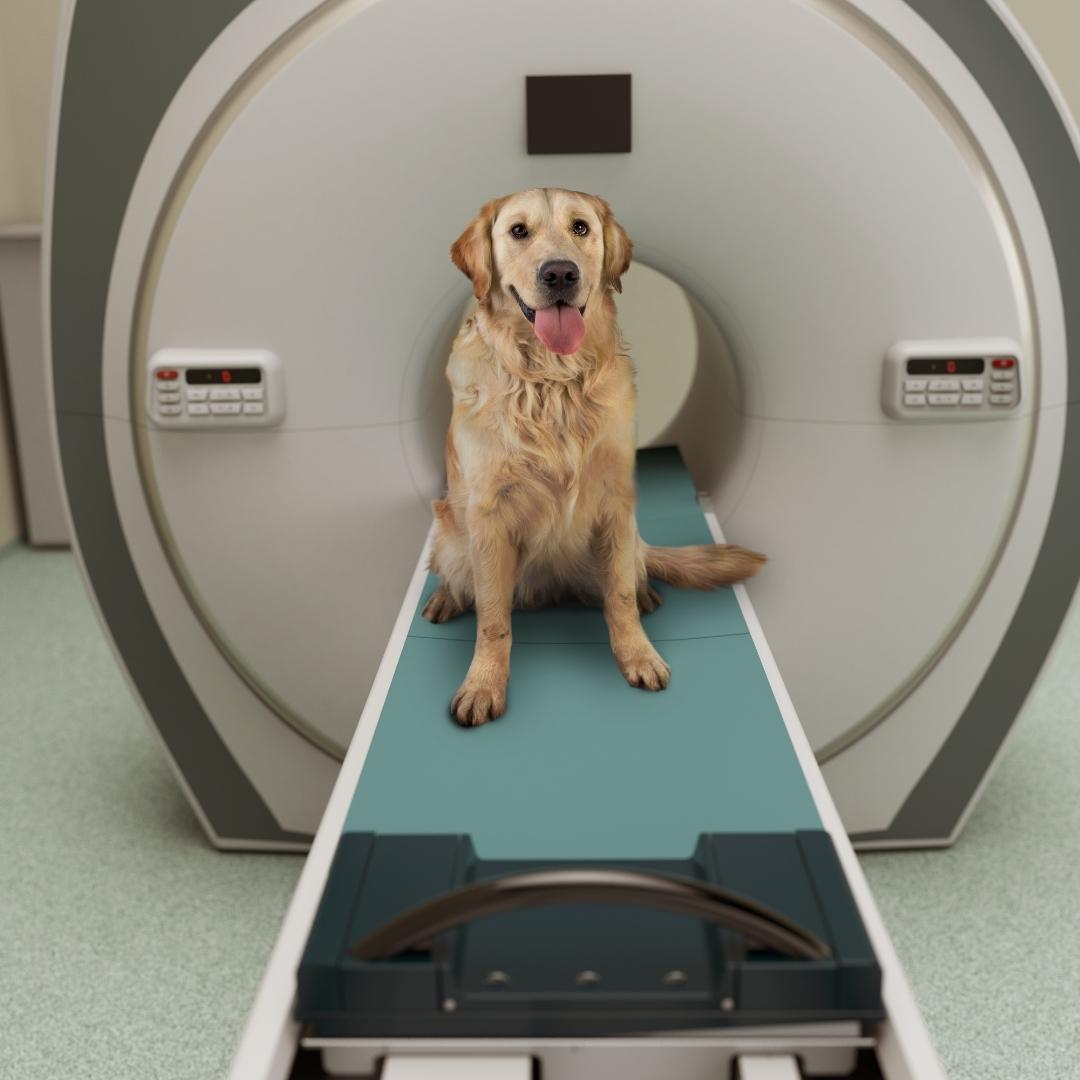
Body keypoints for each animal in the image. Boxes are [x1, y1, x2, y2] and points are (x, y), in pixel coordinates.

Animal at [425, 187, 764, 725]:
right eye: (518, 231)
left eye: (580, 227)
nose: (560, 273)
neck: (551, 380)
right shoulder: (489, 515)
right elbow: (493, 619)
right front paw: (483, 685)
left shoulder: (615, 500)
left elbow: (618, 598)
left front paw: (639, 655)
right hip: (450, 531)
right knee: (457, 576)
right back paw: (444, 599)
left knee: (630, 573)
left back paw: (647, 592)